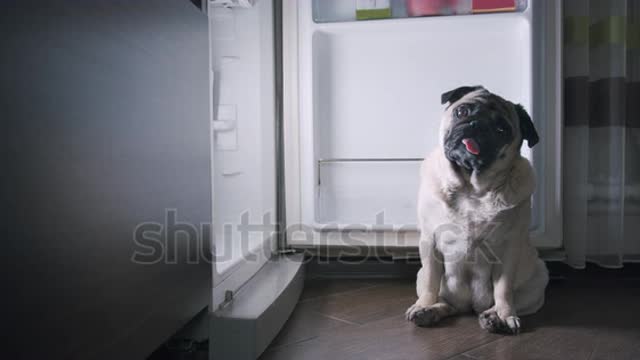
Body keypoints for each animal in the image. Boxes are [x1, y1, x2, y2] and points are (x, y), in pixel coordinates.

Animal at [404, 86, 552, 334]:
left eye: (502, 129)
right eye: (462, 111)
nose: (477, 125)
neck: (471, 187)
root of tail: (469, 307)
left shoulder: (509, 248)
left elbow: (503, 288)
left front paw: (504, 316)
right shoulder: (430, 242)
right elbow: (432, 282)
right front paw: (424, 305)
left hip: (537, 279)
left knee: (512, 299)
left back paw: (494, 316)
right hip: (420, 276)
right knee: (446, 302)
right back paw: (430, 311)